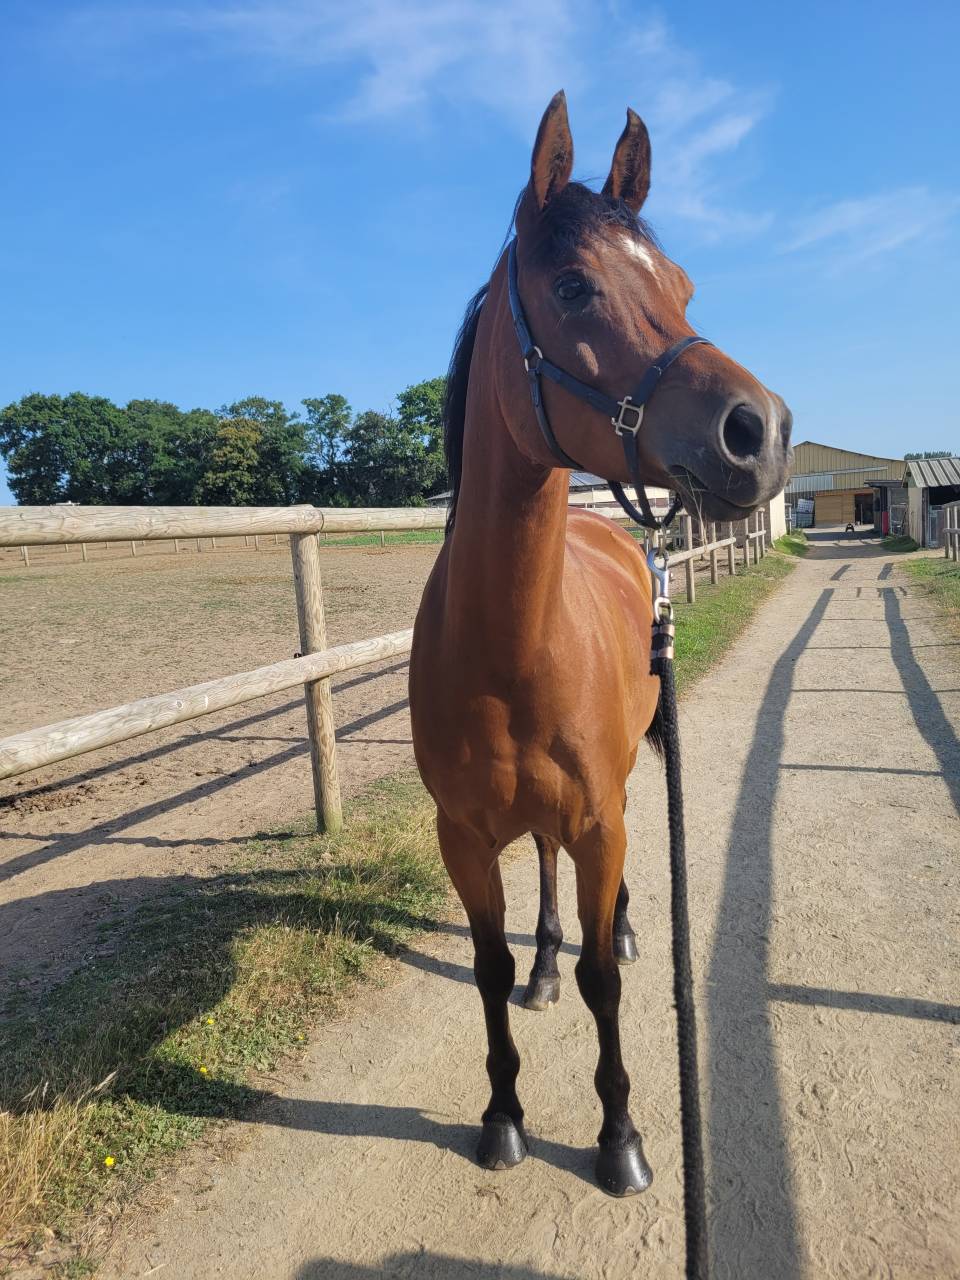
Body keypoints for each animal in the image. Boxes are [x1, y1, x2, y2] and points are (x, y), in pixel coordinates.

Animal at [409, 91, 792, 1197]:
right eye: (575, 286)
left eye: (682, 285)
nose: (761, 430)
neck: (502, 648)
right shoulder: (461, 835)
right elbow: (489, 968)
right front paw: (502, 1113)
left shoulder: (599, 814)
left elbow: (603, 983)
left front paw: (619, 1134)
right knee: (540, 883)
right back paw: (543, 960)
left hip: (612, 798)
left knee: (597, 899)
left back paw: (613, 922)